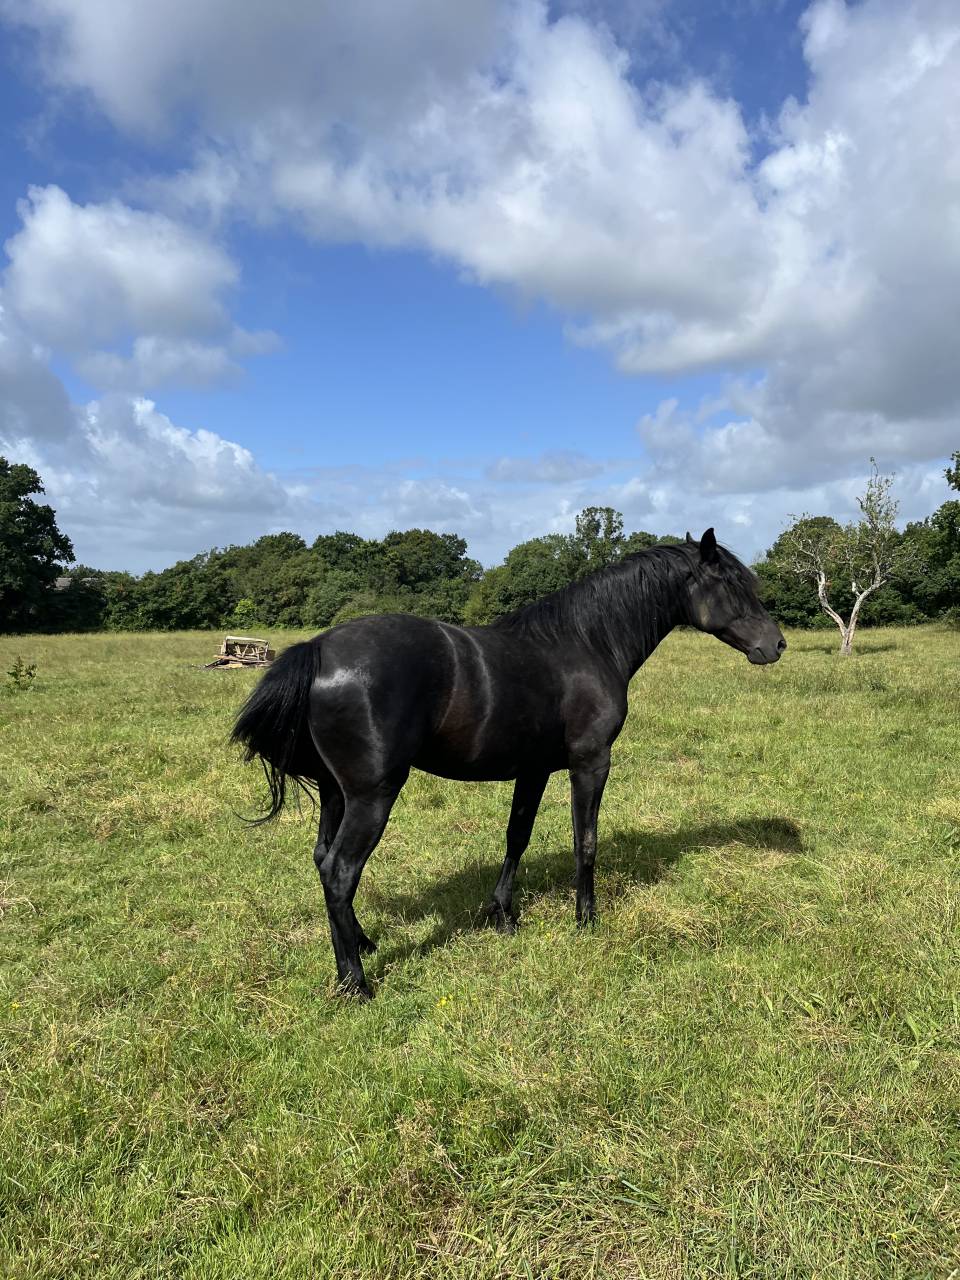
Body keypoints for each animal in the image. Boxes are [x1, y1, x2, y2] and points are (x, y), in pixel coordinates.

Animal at [232, 528, 785, 997]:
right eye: (731, 584)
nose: (776, 644)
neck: (587, 643)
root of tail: (320, 649)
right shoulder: (591, 762)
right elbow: (586, 840)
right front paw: (586, 919)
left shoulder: (533, 770)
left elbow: (517, 836)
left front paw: (503, 914)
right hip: (372, 796)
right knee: (342, 872)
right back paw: (355, 982)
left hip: (335, 793)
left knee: (324, 861)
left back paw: (363, 946)